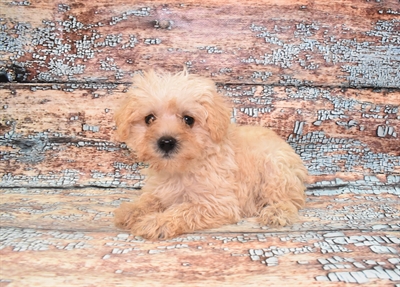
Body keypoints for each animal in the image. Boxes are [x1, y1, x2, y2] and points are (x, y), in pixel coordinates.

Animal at [114, 70, 308, 241]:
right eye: (149, 119)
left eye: (188, 119)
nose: (166, 142)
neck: (180, 169)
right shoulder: (160, 190)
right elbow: (149, 199)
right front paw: (132, 210)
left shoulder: (218, 203)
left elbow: (183, 210)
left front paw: (156, 222)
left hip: (276, 170)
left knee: (289, 199)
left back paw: (276, 212)